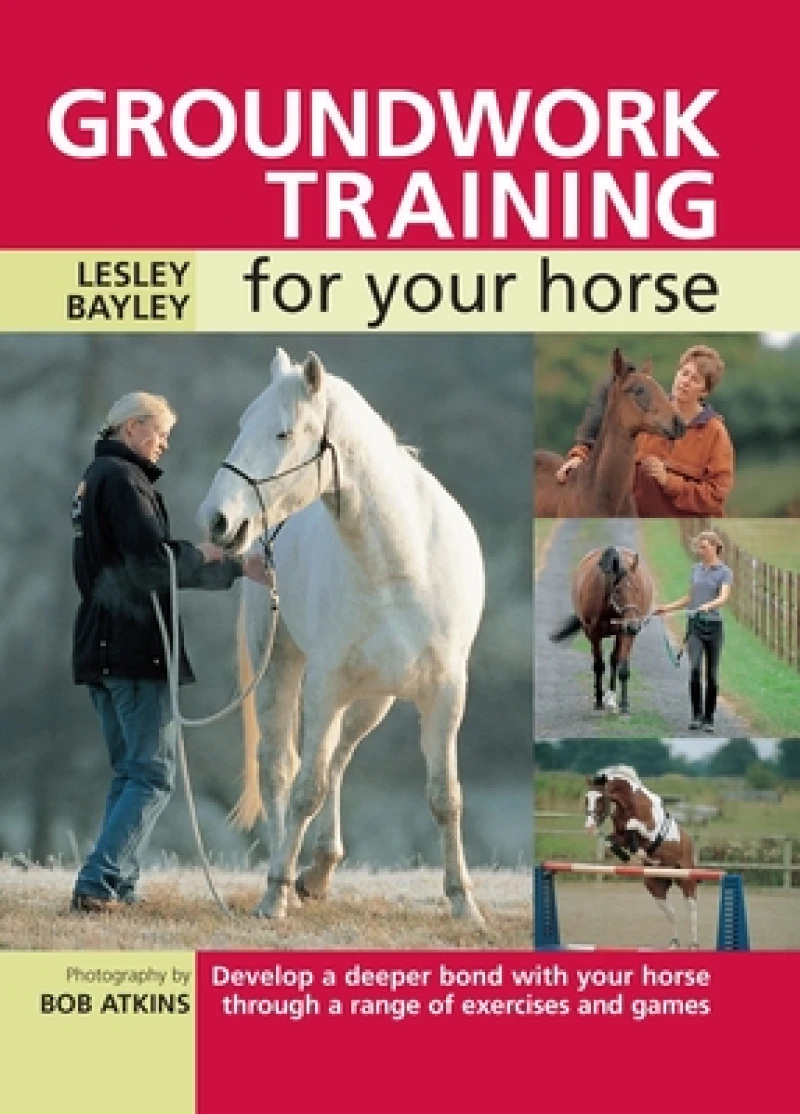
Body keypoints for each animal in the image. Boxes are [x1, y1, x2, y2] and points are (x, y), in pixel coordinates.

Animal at [197, 348, 486, 924]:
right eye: (242, 425)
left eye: (283, 433)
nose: (217, 519)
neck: (402, 562)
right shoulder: (326, 685)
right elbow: (304, 789)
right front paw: (275, 893)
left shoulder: (445, 692)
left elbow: (445, 796)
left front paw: (464, 903)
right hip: (282, 668)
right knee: (282, 768)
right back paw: (290, 877)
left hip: (372, 698)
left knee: (336, 760)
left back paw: (320, 869)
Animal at [549, 545, 653, 714]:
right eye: (617, 590)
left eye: (638, 589)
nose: (633, 626)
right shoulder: (594, 634)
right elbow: (598, 665)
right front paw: (598, 700)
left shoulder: (625, 634)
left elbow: (622, 667)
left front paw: (624, 704)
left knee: (614, 660)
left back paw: (611, 698)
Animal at [584, 766, 699, 949]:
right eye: (586, 799)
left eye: (601, 798)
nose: (589, 827)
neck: (630, 802)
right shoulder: (619, 834)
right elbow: (611, 840)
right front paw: (628, 856)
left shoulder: (649, 831)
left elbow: (633, 827)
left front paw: (638, 852)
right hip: (655, 886)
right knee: (671, 913)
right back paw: (674, 943)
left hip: (686, 880)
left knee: (692, 911)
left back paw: (694, 944)